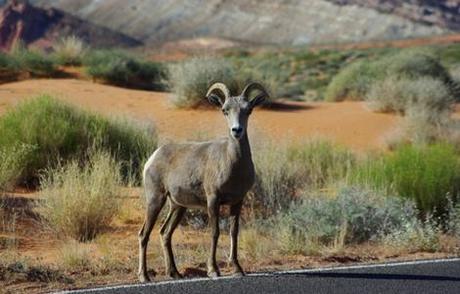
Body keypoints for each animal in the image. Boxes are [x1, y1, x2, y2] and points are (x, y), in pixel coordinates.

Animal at [137, 81, 266, 282]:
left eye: (248, 110)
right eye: (224, 110)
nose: (237, 130)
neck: (232, 162)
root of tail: (153, 157)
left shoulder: (237, 201)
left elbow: (234, 232)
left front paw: (237, 269)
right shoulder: (213, 200)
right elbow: (215, 232)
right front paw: (213, 270)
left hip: (178, 206)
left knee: (165, 233)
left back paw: (175, 273)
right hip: (155, 200)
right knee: (144, 234)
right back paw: (144, 277)